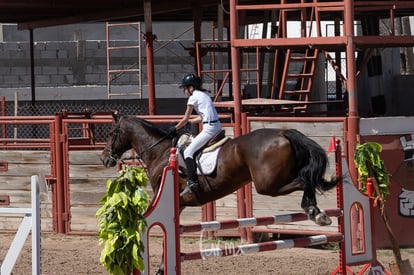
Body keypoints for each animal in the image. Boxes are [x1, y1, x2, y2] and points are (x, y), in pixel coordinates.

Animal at [100, 112, 340, 275]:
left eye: (111, 133)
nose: (104, 158)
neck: (160, 152)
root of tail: (282, 132)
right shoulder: (180, 202)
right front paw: (161, 268)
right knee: (306, 179)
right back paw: (318, 212)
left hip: (267, 185)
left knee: (305, 180)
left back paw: (315, 211)